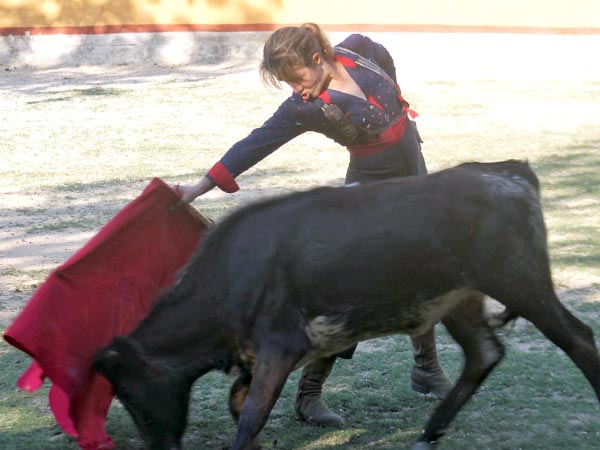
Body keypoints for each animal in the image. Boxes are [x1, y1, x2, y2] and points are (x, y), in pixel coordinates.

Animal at [92, 160, 600, 450]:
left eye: (128, 392)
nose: (159, 447)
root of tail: (510, 173)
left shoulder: (279, 347)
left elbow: (250, 415)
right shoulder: (263, 357)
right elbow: (240, 405)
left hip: (520, 280)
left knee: (577, 337)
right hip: (460, 298)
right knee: (484, 352)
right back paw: (428, 434)